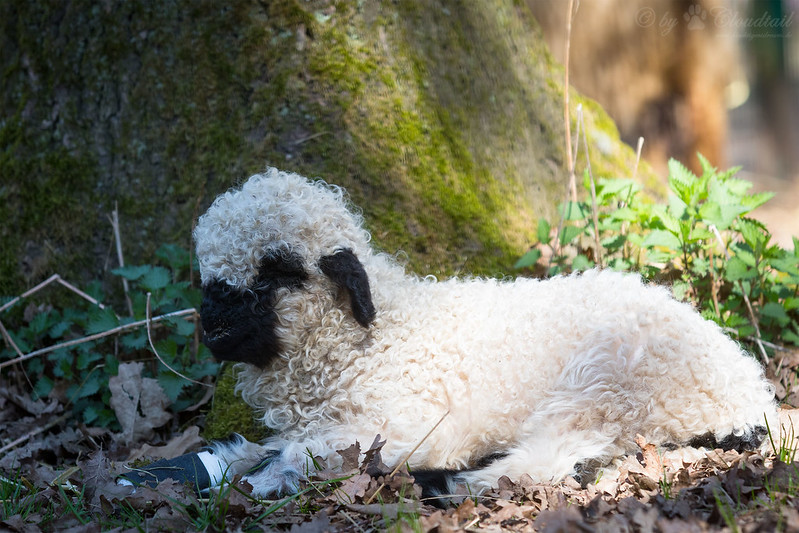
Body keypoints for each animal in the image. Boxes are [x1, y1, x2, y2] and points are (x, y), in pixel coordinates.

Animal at [154, 167, 778, 500]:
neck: (371, 336)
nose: (214, 325)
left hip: (610, 377)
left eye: (277, 270)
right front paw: (221, 462)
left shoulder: (414, 420)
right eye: (207, 276)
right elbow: (273, 443)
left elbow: (308, 450)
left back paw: (448, 484)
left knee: (547, 461)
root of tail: (748, 392)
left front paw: (264, 480)